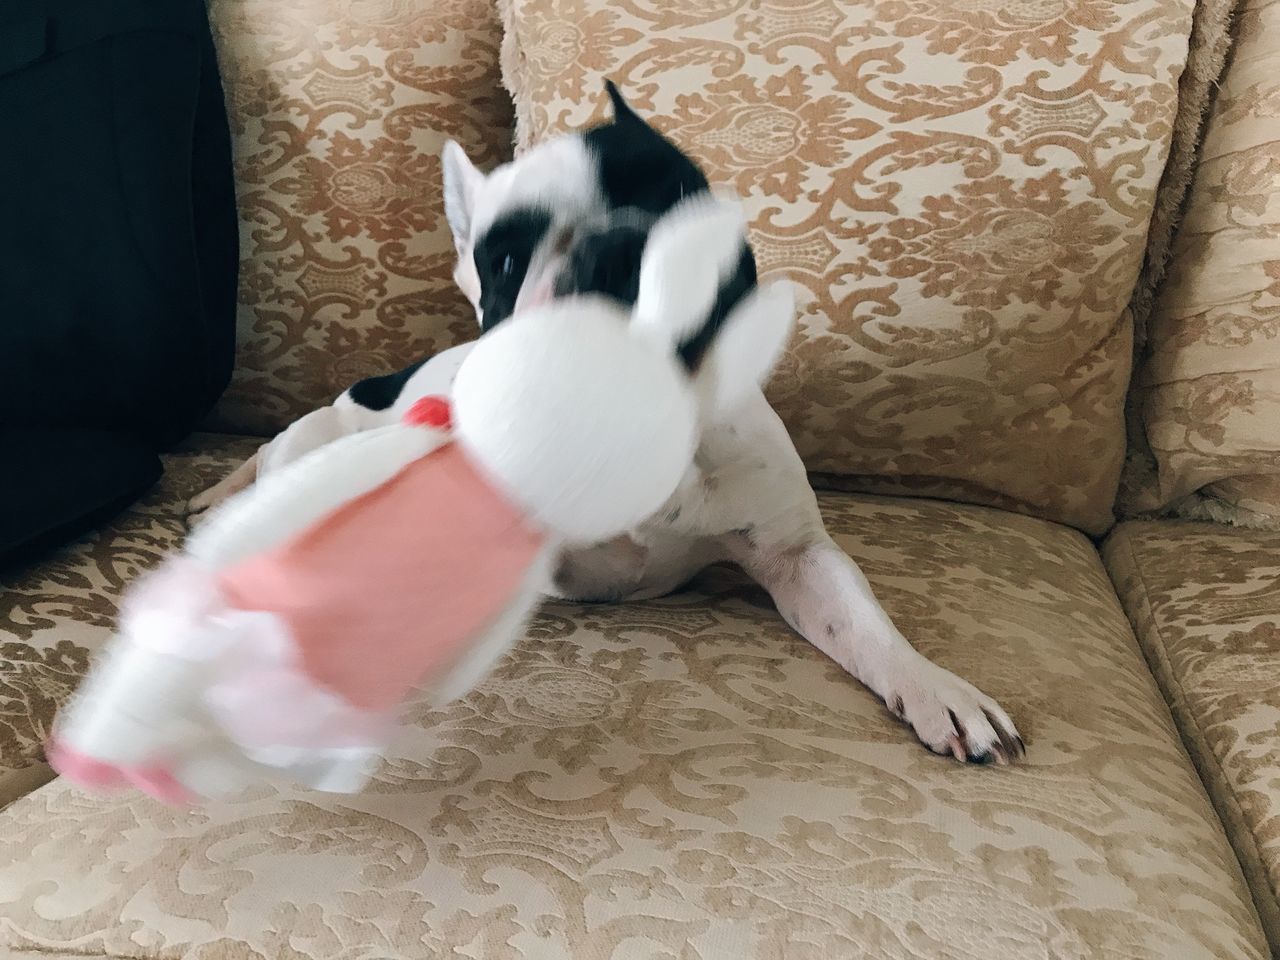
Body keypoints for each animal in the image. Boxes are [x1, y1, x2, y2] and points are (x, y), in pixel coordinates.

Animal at [192, 86, 1029, 773]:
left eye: (679, 190)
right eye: (506, 255)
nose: (617, 240)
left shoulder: (795, 556)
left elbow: (866, 622)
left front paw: (936, 685)